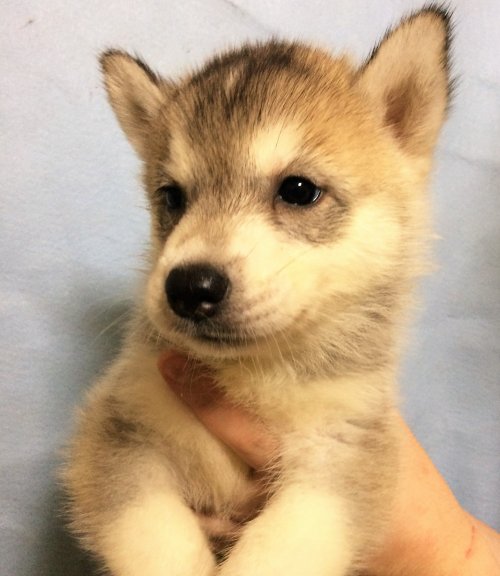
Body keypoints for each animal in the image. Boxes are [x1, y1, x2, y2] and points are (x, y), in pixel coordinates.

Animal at [62, 6, 452, 575]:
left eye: (299, 190)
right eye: (171, 197)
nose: (189, 286)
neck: (254, 375)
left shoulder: (345, 448)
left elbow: (283, 544)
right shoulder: (122, 426)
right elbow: (155, 533)